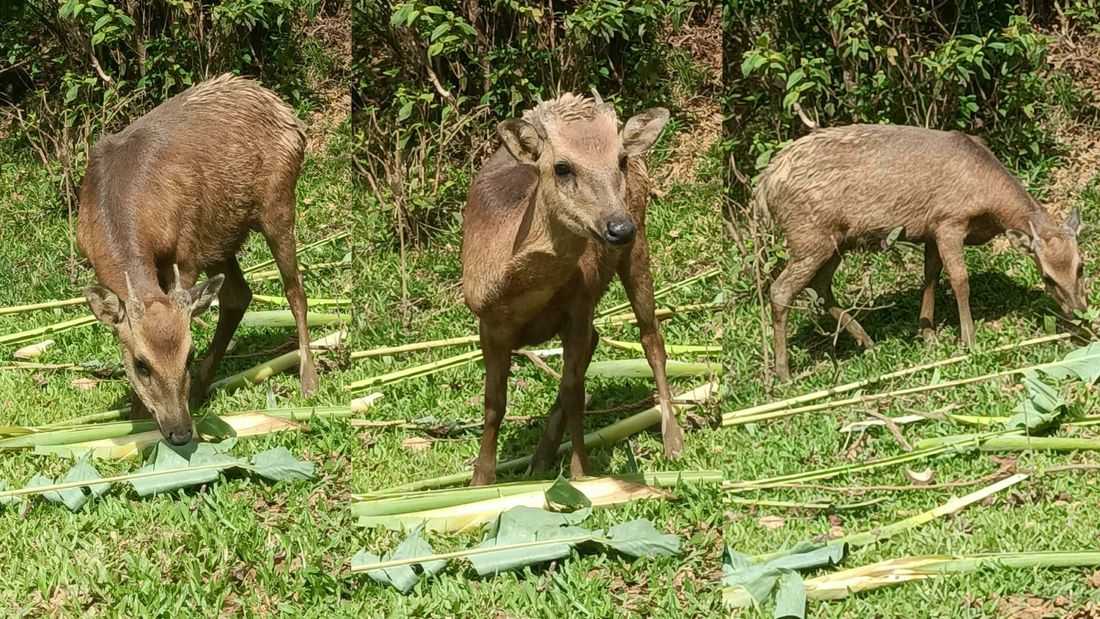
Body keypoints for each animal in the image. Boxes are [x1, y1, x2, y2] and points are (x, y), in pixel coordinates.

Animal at [76, 73, 319, 445]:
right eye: (141, 364)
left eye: (188, 354)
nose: (180, 431)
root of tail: (286, 111)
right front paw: (136, 415)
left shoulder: (186, 250)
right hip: (221, 236)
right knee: (238, 295)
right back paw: (203, 387)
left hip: (278, 202)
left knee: (295, 290)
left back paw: (308, 380)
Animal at [461, 92, 684, 486]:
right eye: (562, 167)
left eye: (619, 160)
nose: (618, 227)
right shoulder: (487, 322)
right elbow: (494, 404)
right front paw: (480, 481)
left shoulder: (579, 304)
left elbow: (574, 392)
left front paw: (581, 474)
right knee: (597, 343)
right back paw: (541, 458)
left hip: (639, 242)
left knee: (651, 338)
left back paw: (672, 440)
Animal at [758, 119, 1087, 382]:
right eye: (1047, 277)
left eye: (1081, 266)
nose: (1080, 310)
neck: (989, 207)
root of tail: (764, 188)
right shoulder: (949, 221)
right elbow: (959, 279)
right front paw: (968, 341)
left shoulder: (930, 231)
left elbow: (930, 276)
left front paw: (927, 333)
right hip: (809, 235)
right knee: (781, 290)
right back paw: (784, 373)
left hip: (834, 241)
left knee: (821, 287)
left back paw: (867, 341)